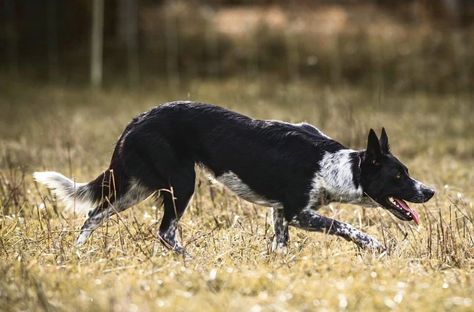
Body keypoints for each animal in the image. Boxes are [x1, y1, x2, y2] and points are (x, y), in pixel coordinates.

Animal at [32, 102, 434, 254]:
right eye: (398, 175)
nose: (429, 191)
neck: (336, 166)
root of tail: (138, 119)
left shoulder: (280, 214)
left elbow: (279, 246)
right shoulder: (298, 212)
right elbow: (347, 227)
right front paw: (375, 245)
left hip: (137, 187)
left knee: (93, 213)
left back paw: (78, 253)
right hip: (180, 183)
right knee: (165, 232)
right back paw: (192, 260)